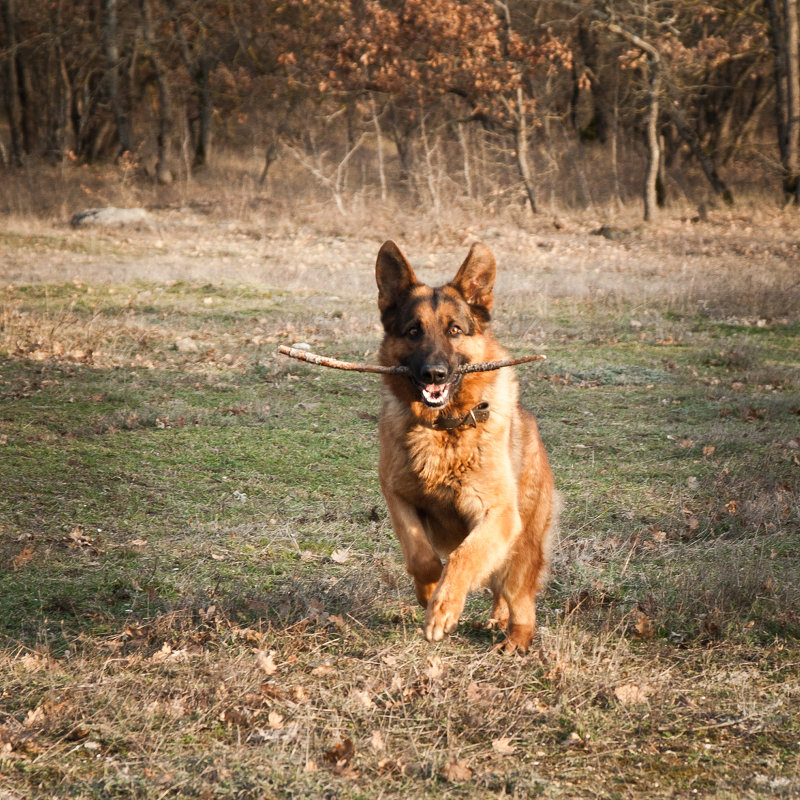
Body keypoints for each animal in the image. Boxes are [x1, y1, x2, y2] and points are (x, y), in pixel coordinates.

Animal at [376, 241, 556, 652]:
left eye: (454, 330)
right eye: (413, 331)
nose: (434, 374)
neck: (443, 431)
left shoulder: (498, 515)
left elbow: (463, 556)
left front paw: (442, 609)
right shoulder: (397, 497)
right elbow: (422, 556)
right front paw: (428, 593)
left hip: (521, 548)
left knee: (519, 596)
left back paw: (516, 639)